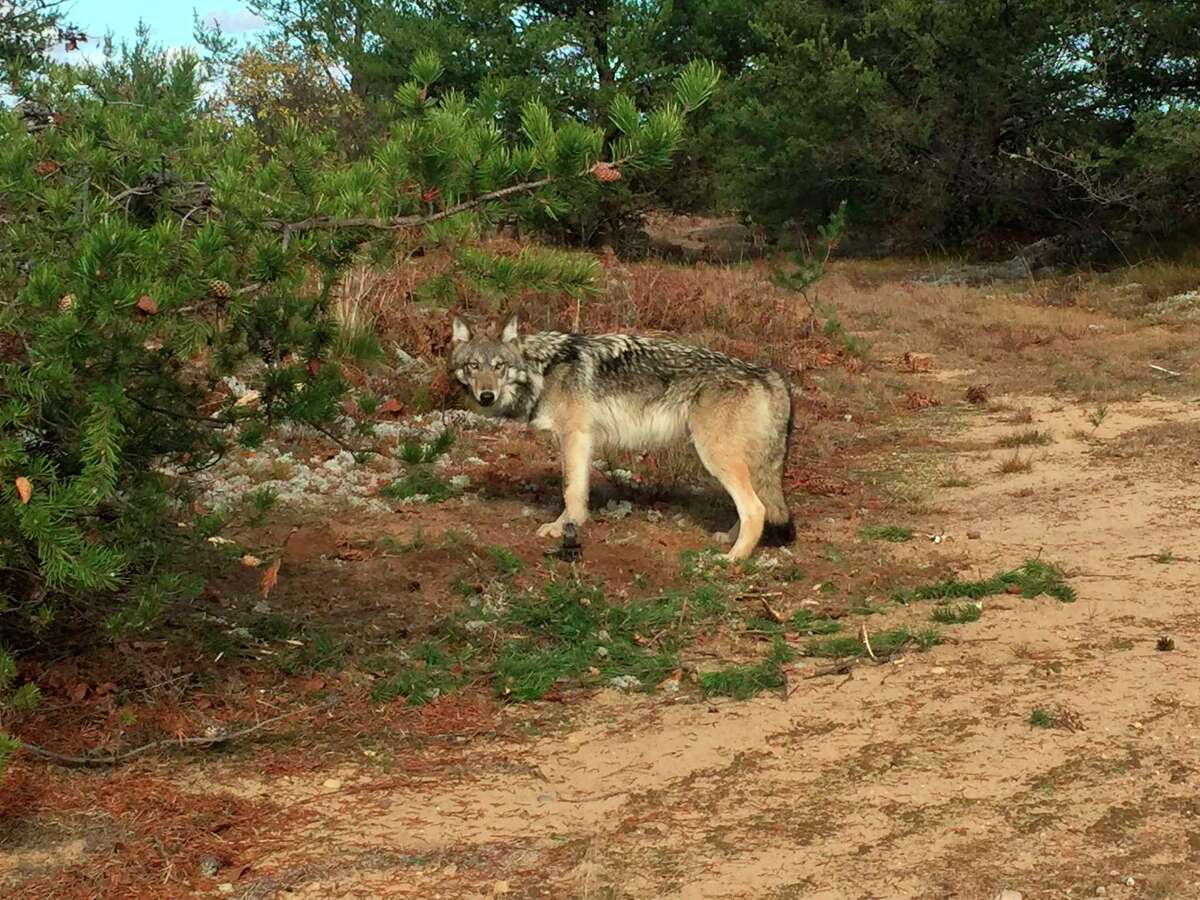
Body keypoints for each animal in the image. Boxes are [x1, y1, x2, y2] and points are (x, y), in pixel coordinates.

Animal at [449, 315, 796, 560]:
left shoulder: (574, 436)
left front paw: (562, 527)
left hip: (715, 457)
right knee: (756, 507)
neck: (543, 369)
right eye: (473, 366)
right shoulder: (581, 442)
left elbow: (570, 491)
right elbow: (579, 489)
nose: (486, 396)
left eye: (499, 366)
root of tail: (770, 375)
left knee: (756, 510)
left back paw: (734, 558)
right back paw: (730, 539)